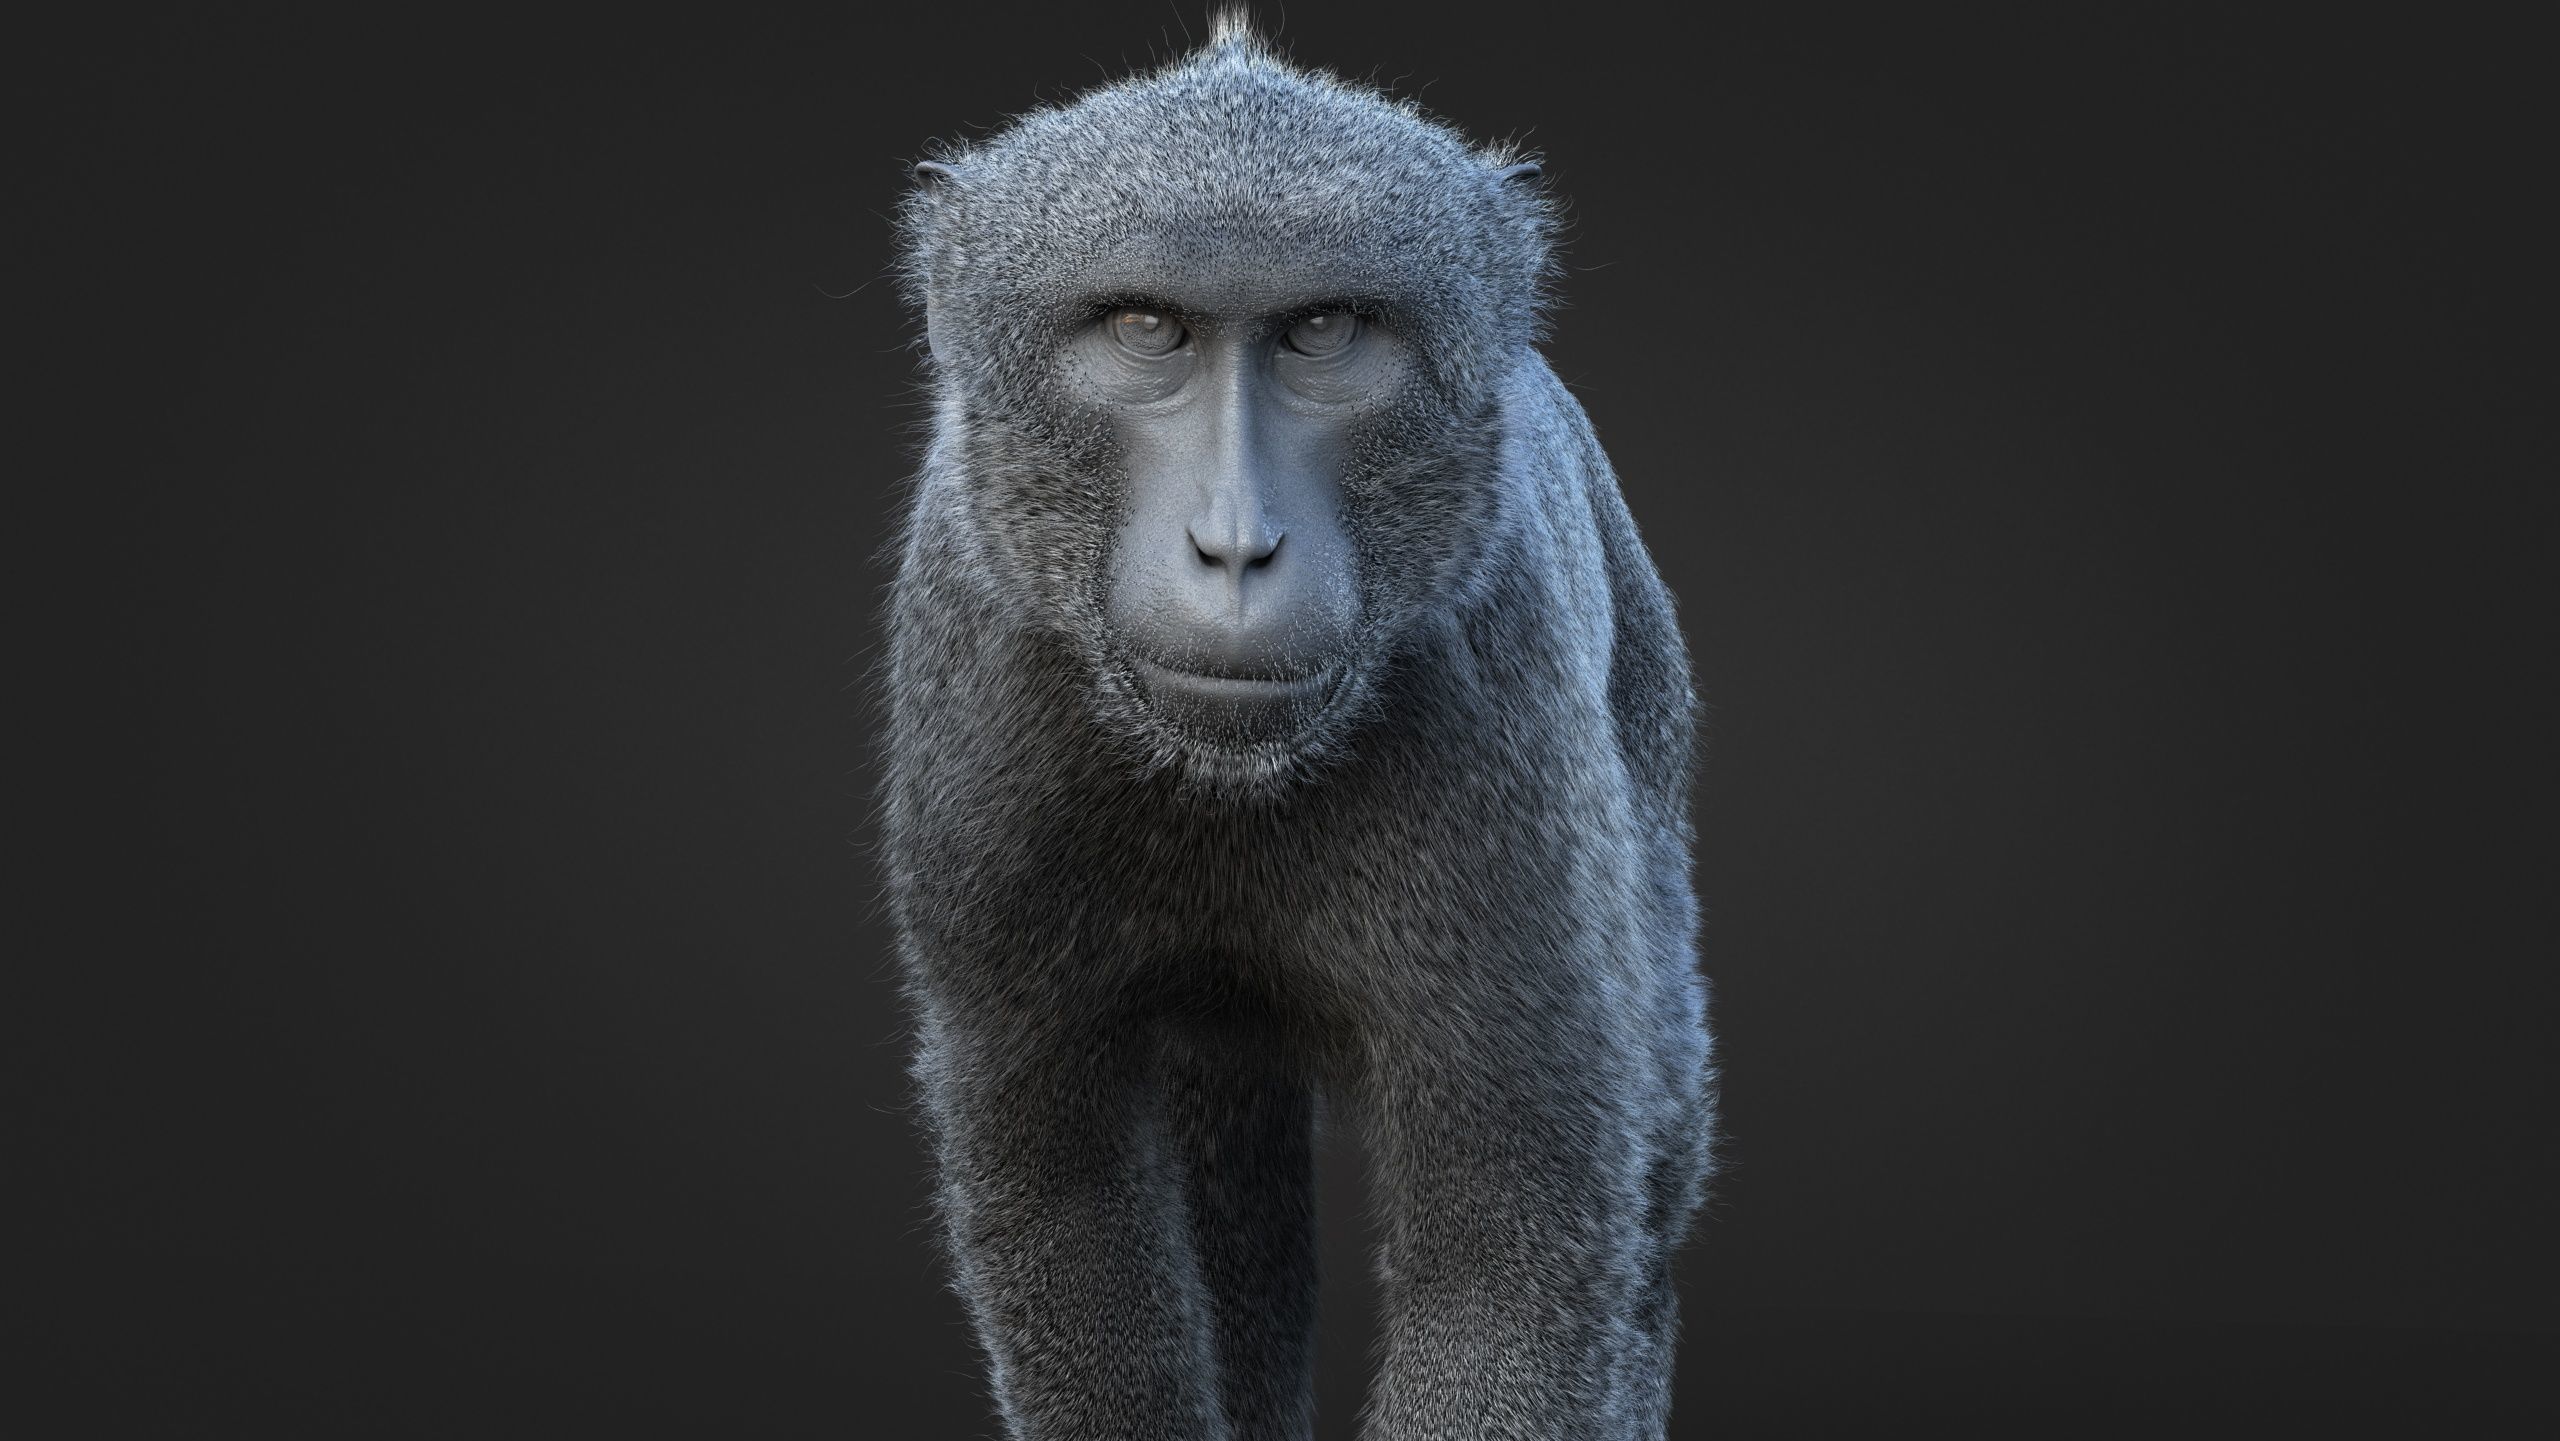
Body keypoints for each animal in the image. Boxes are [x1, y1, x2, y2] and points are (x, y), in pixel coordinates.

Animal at [881, 15, 1714, 1440]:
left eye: (1323, 331)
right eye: (1145, 327)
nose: (1234, 544)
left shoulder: (1495, 705)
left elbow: (1510, 1254)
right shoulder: (982, 717)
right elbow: (1058, 1192)